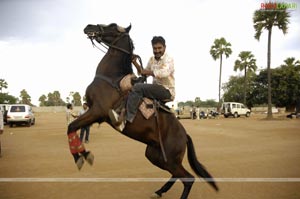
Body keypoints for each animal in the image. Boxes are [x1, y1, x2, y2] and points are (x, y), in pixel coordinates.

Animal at [66, 23, 218, 199]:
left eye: (112, 26)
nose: (89, 27)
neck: (112, 79)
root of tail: (184, 135)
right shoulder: (93, 112)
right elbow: (72, 128)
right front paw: (82, 155)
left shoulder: (97, 111)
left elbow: (71, 127)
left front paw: (81, 157)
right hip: (157, 156)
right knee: (178, 175)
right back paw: (159, 191)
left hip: (168, 159)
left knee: (188, 179)